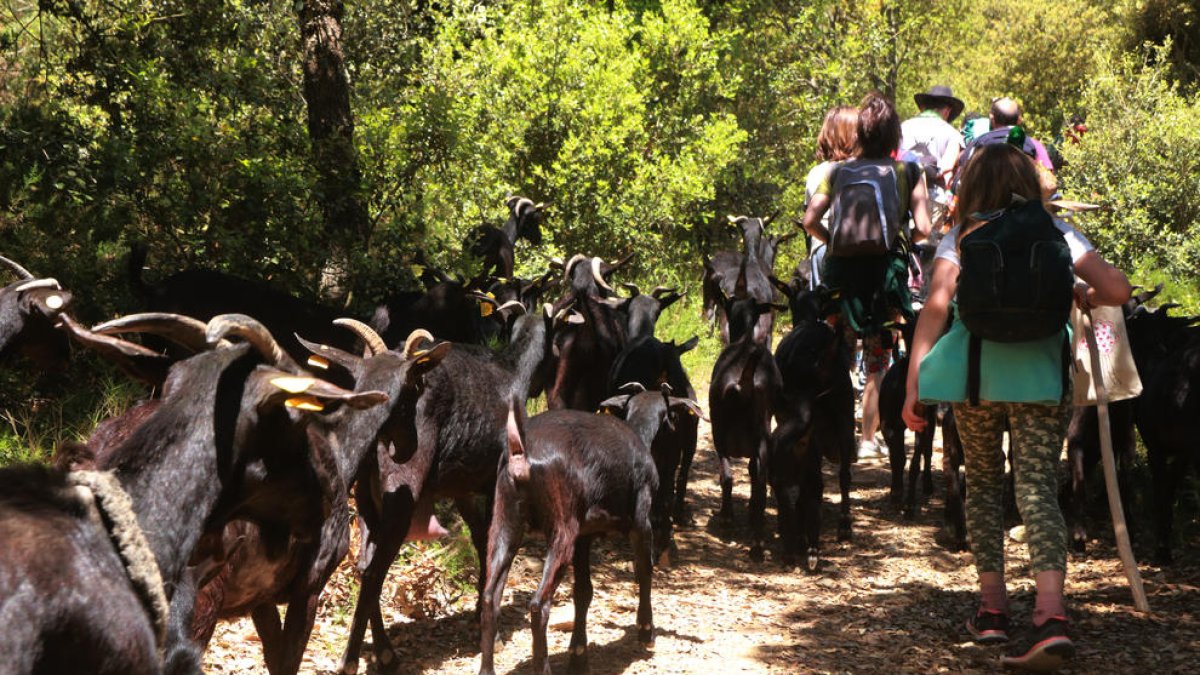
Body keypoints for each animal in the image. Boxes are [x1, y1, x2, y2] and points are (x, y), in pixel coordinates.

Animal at [477, 386, 686, 667]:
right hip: (562, 529)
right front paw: (646, 631)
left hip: (505, 522)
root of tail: (520, 455)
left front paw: (578, 652)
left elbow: (583, 591)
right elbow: (644, 571)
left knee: (490, 598)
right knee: (538, 605)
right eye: (673, 418)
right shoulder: (641, 520)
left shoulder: (584, 537)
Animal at [705, 260, 782, 559]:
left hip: (720, 433)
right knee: (758, 481)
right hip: (760, 436)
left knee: (727, 475)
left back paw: (729, 519)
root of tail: (741, 383)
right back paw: (756, 538)